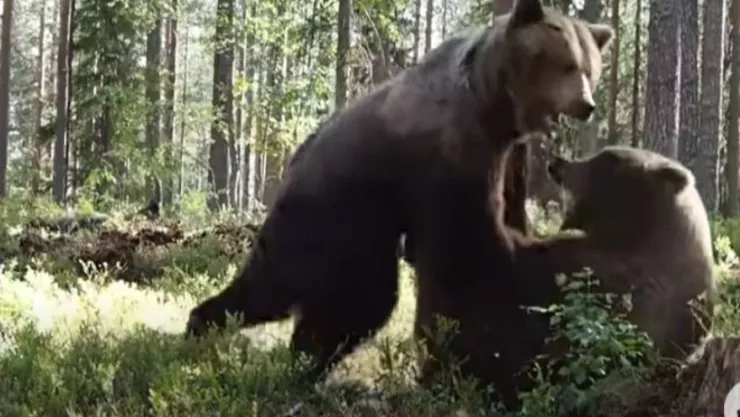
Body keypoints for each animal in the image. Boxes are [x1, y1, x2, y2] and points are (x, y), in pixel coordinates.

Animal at [185, 0, 614, 385]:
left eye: (591, 69)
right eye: (566, 63)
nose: (587, 104)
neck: (493, 103)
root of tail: (290, 171)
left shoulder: (508, 155)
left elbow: (507, 212)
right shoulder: (451, 155)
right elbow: (461, 245)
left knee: (334, 297)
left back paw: (297, 354)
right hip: (332, 214)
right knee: (309, 288)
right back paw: (213, 329)